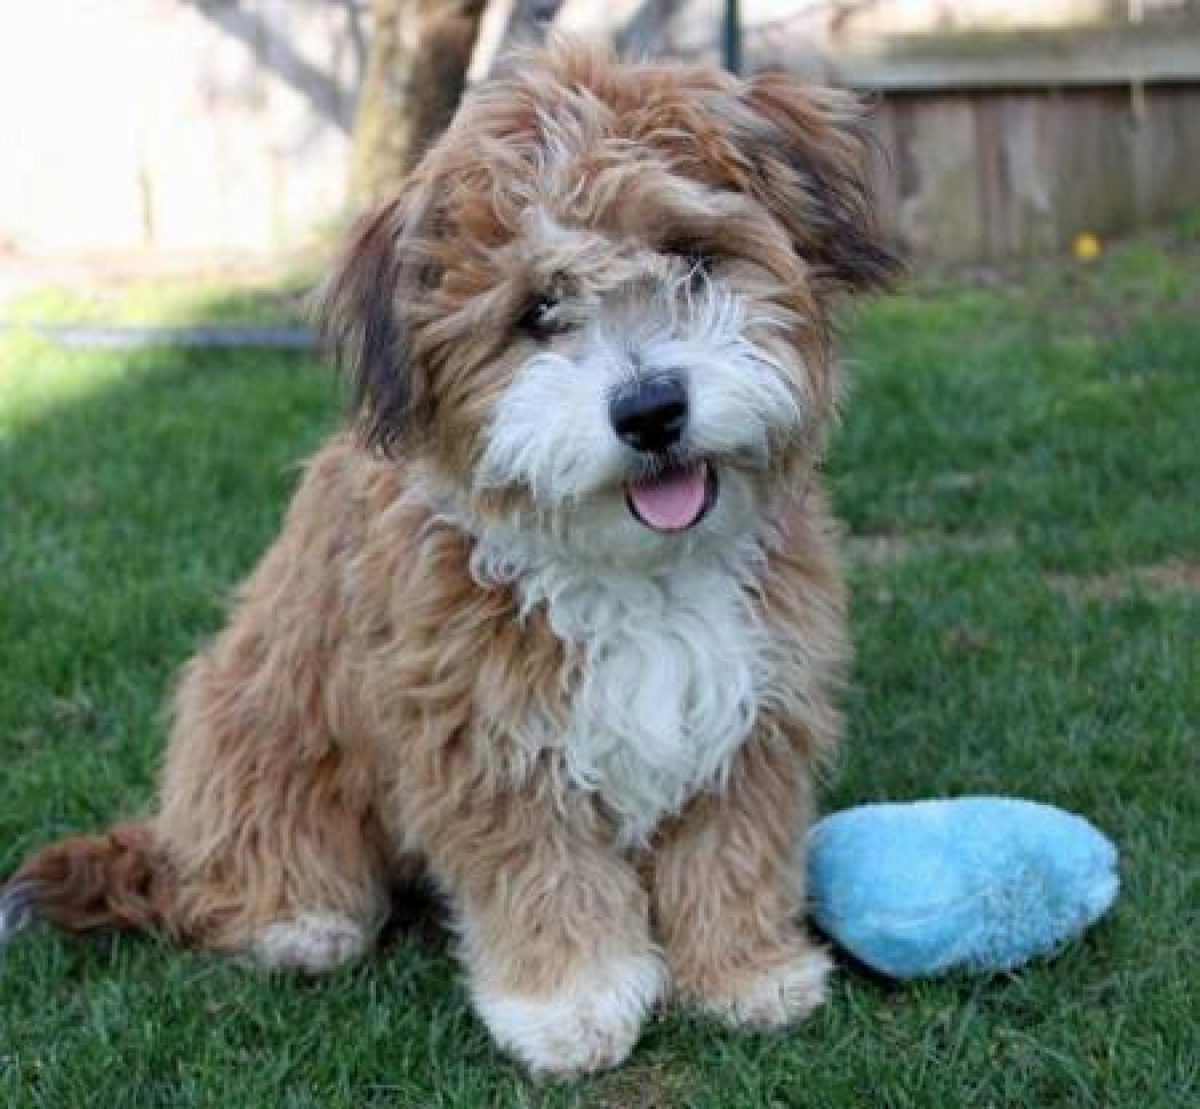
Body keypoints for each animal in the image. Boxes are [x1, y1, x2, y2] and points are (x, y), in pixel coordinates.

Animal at [2, 41, 902, 1075]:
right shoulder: (485, 738)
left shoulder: (751, 713)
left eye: (690, 257)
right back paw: (296, 920)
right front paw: (572, 1005)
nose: (650, 410)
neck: (632, 567)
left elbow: (732, 849)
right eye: (539, 309)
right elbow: (543, 876)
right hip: (256, 734)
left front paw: (745, 972)